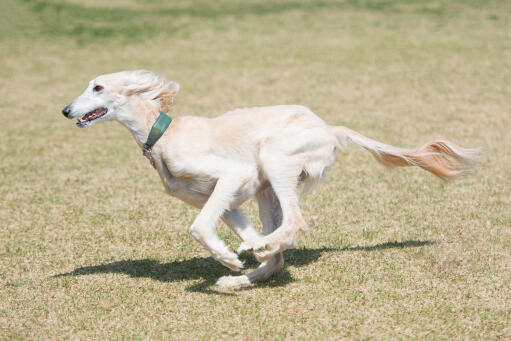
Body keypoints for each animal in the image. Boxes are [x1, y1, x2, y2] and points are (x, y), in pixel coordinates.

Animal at [61, 69, 480, 286]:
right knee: (278, 249)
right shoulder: (227, 200)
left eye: (97, 87)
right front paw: (236, 260)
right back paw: (247, 271)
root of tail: (328, 127)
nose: (65, 111)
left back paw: (254, 255)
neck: (161, 133)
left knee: (295, 222)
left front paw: (229, 258)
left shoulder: (232, 174)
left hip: (273, 158)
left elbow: (198, 227)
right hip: (267, 189)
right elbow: (226, 229)